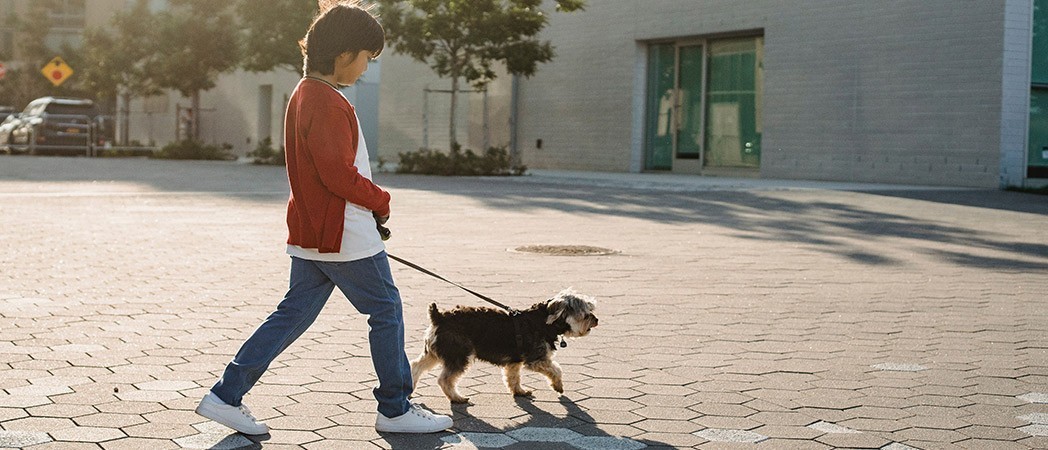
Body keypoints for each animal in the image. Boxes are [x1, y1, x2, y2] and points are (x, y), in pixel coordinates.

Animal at [408, 289, 599, 400]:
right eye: (585, 314)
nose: (596, 320)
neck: (543, 322)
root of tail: (438, 317)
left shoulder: (514, 362)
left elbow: (513, 377)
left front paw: (519, 391)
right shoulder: (536, 359)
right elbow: (556, 369)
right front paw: (558, 386)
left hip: (434, 352)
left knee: (416, 365)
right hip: (459, 354)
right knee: (445, 379)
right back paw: (457, 398)